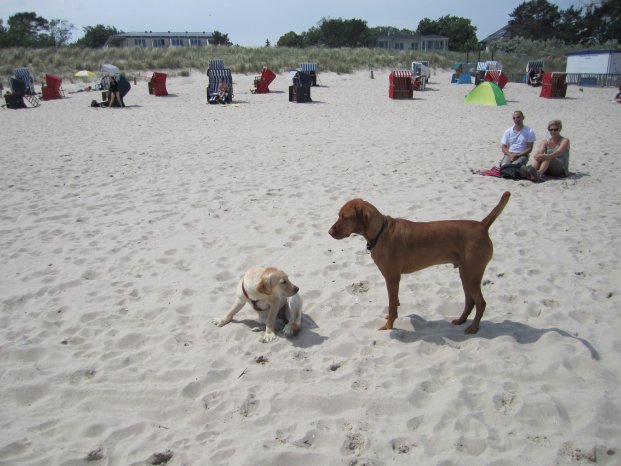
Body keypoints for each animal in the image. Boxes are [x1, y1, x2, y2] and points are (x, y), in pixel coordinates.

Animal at [326, 191, 512, 334]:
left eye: (345, 217)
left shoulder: (392, 278)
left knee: (481, 302)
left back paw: (473, 328)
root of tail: (482, 225)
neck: (381, 232)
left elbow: (392, 304)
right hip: (464, 273)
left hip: (472, 273)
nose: (328, 232)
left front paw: (389, 325)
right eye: (339, 215)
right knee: (470, 301)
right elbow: (395, 302)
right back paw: (461, 320)